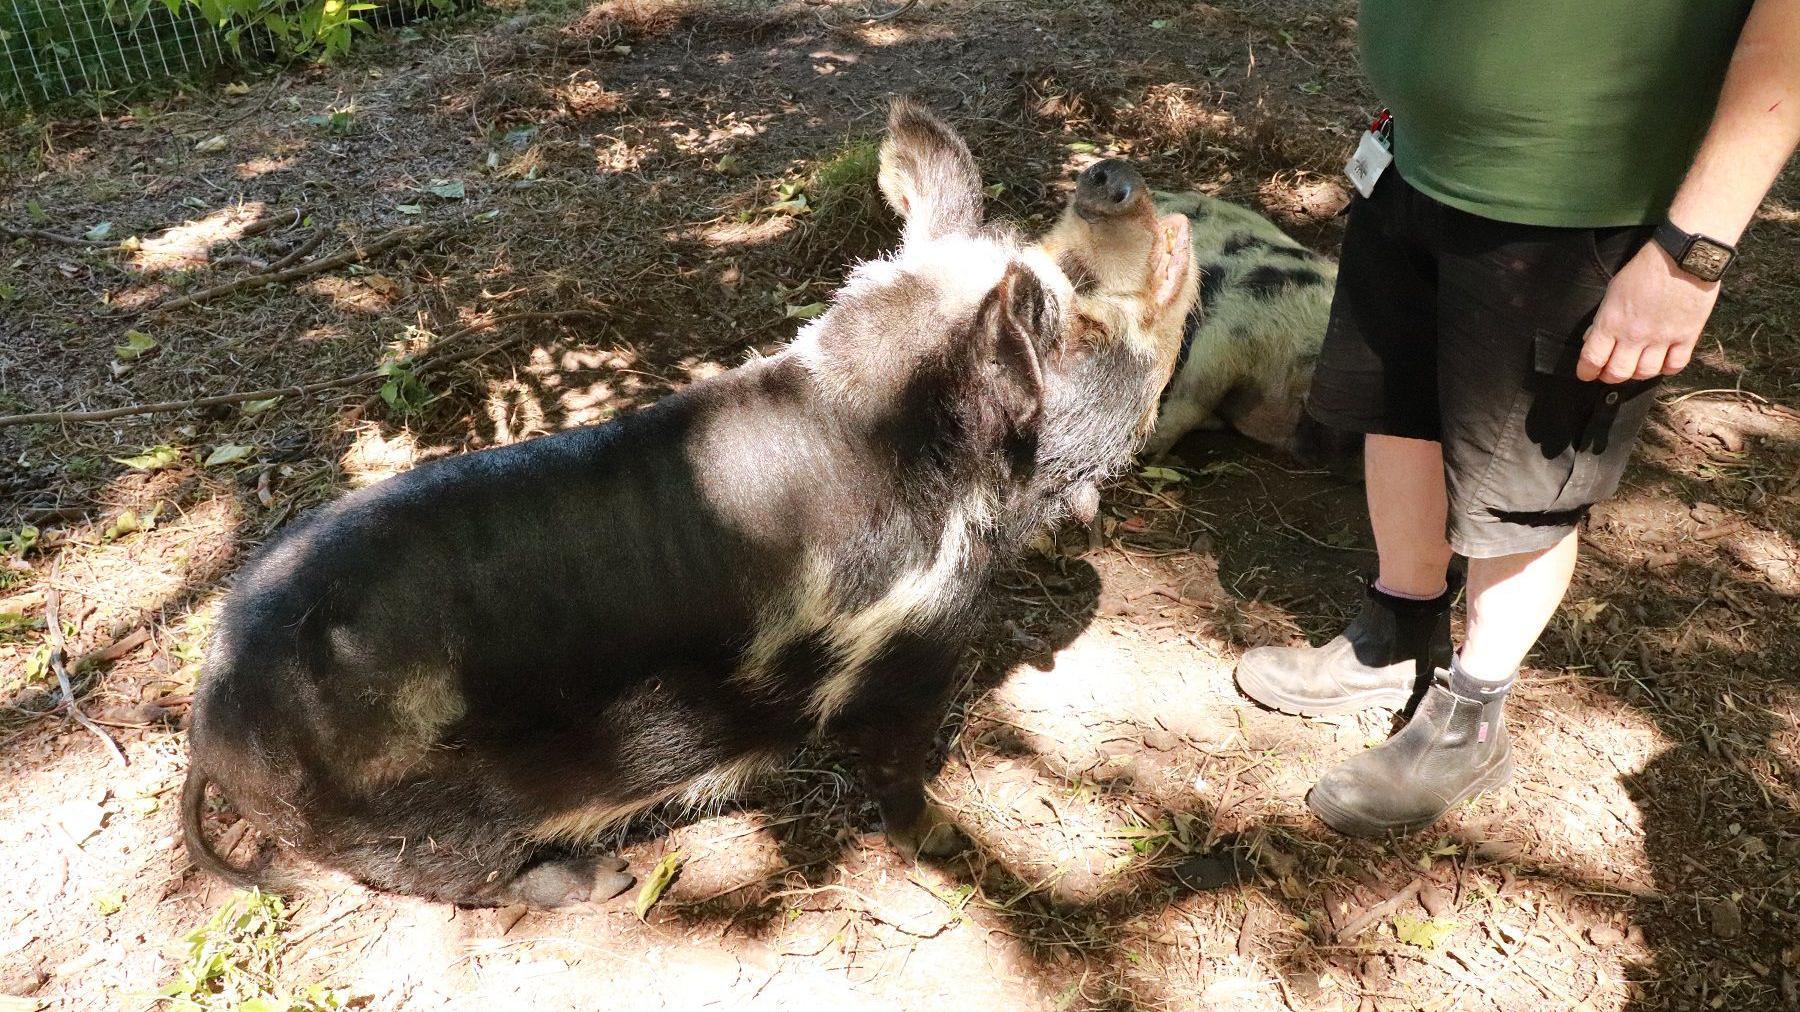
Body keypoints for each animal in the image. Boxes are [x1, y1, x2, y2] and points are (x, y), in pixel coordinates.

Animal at [179, 102, 1195, 907]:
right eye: (1073, 312)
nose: (1107, 176)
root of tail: (207, 711)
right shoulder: (906, 643)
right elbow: (897, 759)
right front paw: (939, 838)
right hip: (406, 828)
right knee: (467, 880)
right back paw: (608, 879)